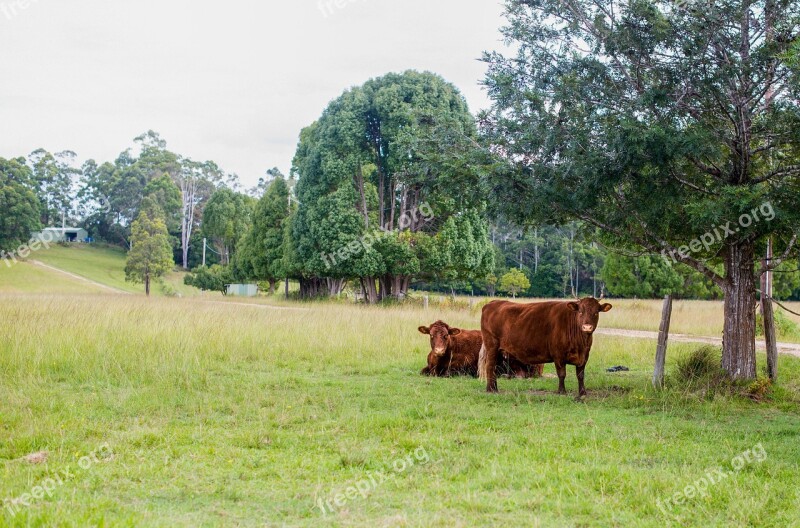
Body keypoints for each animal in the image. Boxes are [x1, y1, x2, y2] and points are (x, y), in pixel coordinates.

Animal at [478, 300, 616, 394]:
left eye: (596, 313)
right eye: (580, 312)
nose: (587, 327)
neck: (580, 344)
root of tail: (493, 303)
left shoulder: (584, 356)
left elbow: (580, 375)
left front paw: (582, 392)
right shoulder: (558, 355)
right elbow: (562, 374)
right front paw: (562, 391)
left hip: (499, 351)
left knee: (493, 368)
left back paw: (494, 387)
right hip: (492, 345)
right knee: (489, 366)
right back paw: (490, 389)